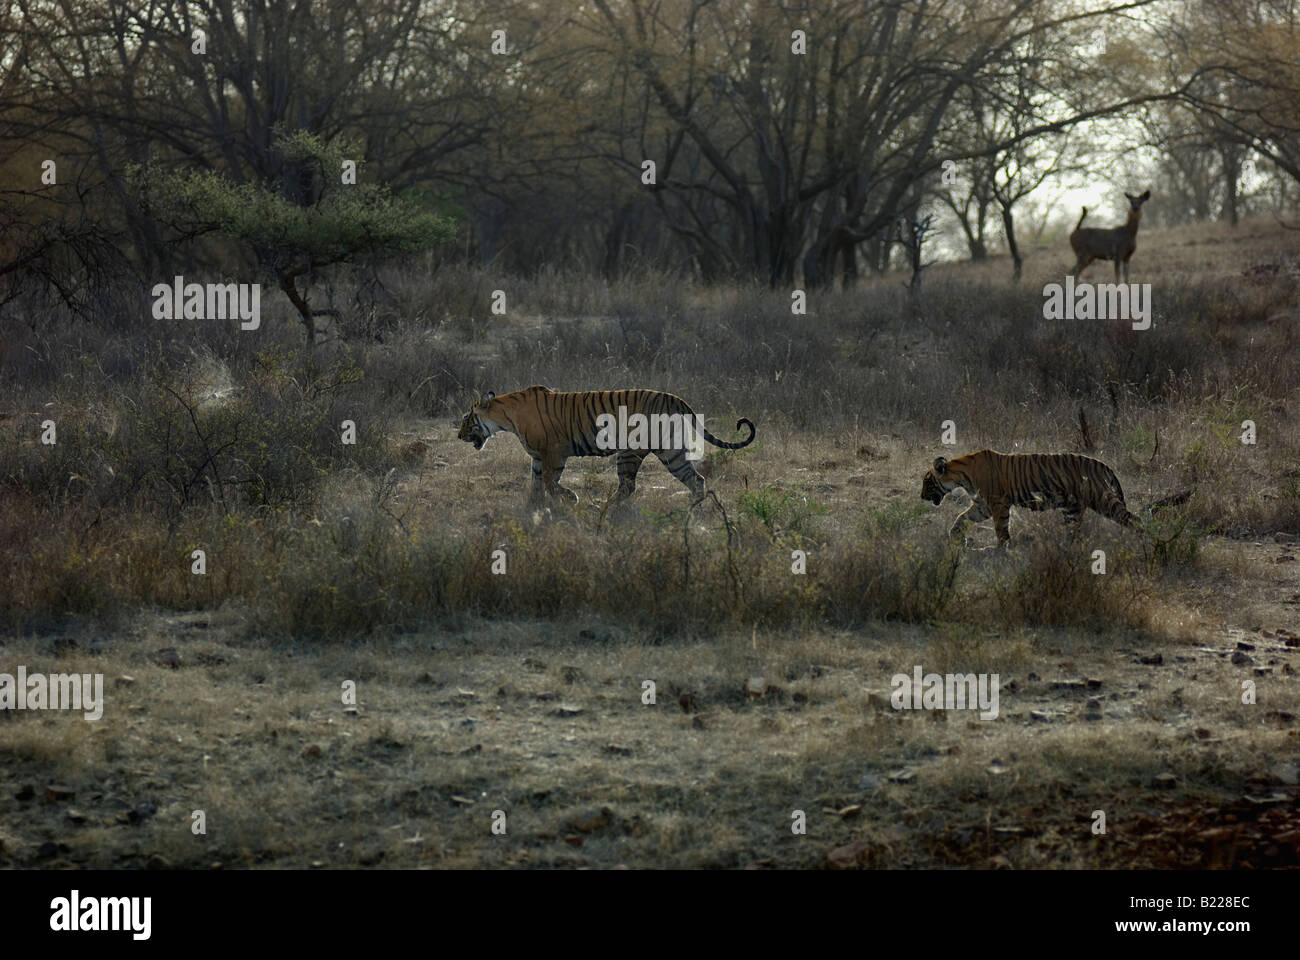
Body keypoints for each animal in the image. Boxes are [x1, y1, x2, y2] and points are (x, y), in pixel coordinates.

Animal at [462, 382, 759, 504]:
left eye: (467, 418)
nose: (458, 435)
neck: (505, 416)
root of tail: (677, 399)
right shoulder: (537, 457)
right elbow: (536, 483)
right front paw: (532, 509)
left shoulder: (555, 452)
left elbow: (549, 481)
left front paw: (570, 498)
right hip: (671, 451)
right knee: (696, 479)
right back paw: (692, 509)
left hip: (630, 452)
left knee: (628, 486)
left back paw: (602, 507)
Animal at [920, 447, 1185, 541]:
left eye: (926, 481)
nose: (921, 497)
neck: (962, 475)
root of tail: (1102, 464)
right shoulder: (982, 505)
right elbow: (962, 518)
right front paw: (955, 536)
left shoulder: (997, 504)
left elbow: (1001, 529)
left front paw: (1001, 550)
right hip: (1073, 509)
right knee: (1074, 534)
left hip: (1103, 501)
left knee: (1135, 520)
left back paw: (1148, 542)